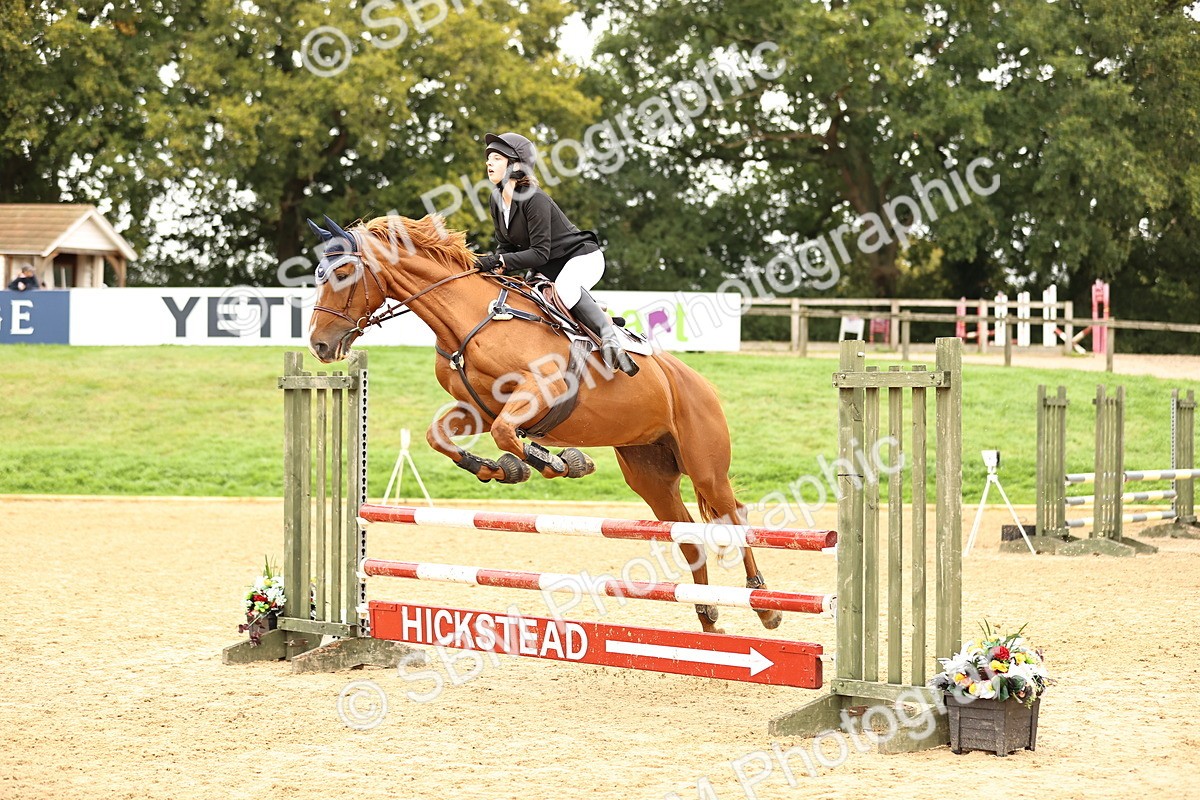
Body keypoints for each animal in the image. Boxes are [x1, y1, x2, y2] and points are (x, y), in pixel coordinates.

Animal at [306, 213, 782, 634]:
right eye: (317, 273)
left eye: (344, 271)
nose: (319, 346)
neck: (468, 319)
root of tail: (700, 383)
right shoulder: (479, 408)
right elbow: (440, 436)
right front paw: (501, 469)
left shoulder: (539, 392)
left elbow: (508, 435)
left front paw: (562, 462)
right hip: (649, 473)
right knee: (687, 533)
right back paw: (708, 615)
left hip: (705, 466)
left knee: (734, 515)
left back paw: (764, 606)